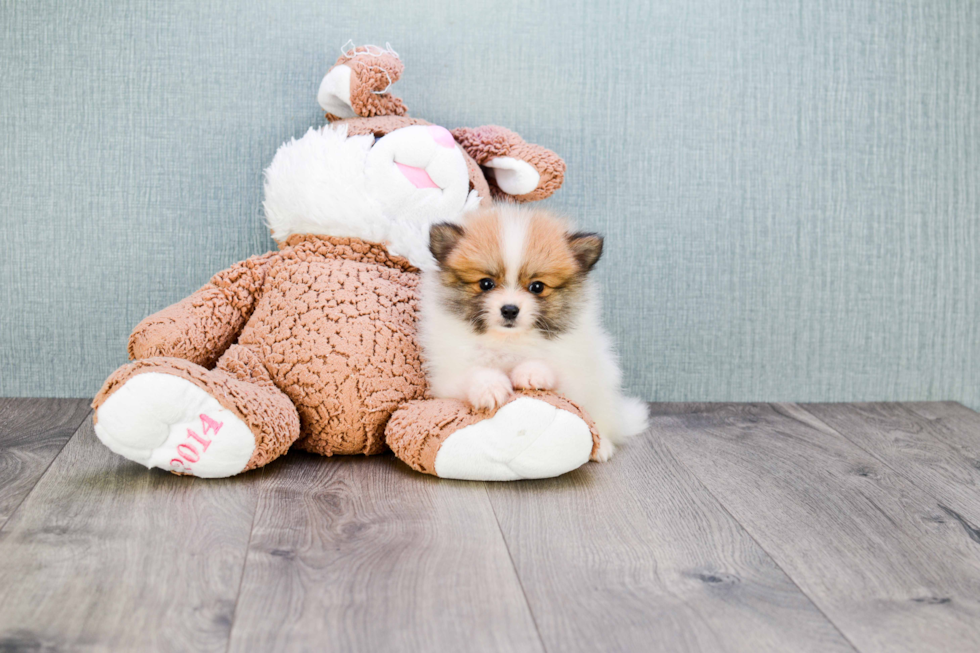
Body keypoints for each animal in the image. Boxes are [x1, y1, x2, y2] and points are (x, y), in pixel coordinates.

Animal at [422, 201, 652, 460]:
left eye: (537, 287)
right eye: (486, 283)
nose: (509, 309)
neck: (509, 341)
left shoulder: (573, 373)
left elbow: (551, 368)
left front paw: (531, 373)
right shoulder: (447, 377)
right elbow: (472, 374)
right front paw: (490, 388)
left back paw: (602, 447)